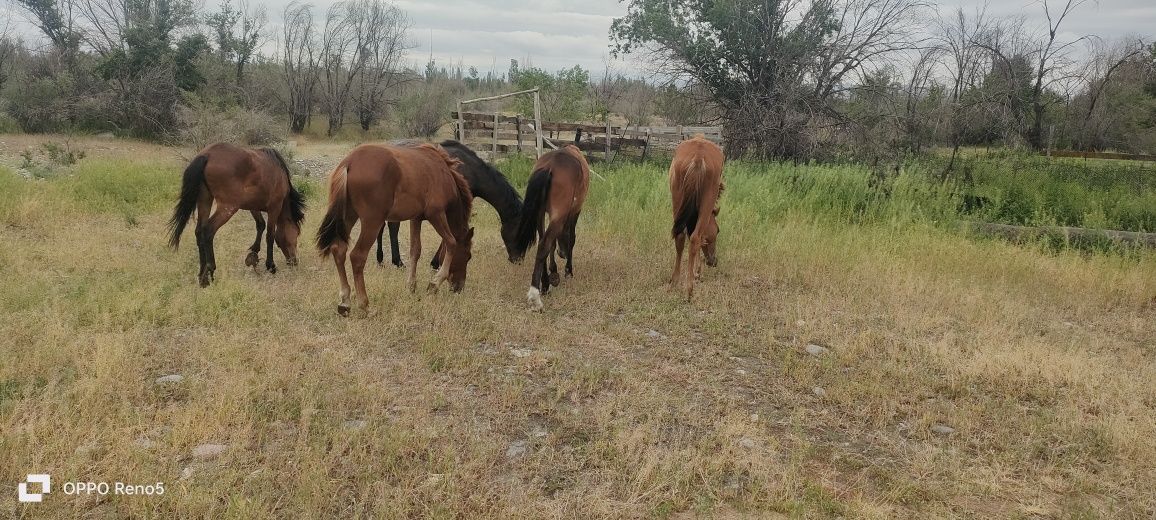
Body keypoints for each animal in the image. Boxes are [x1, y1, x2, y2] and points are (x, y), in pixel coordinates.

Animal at [167, 142, 305, 286]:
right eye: (296, 234)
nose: (294, 262)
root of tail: (207, 155)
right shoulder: (274, 208)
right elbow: (270, 235)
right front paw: (270, 265)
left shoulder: (253, 207)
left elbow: (260, 225)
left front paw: (254, 251)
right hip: (227, 208)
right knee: (208, 230)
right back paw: (211, 270)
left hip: (205, 200)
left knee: (199, 231)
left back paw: (202, 276)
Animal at [316, 140, 473, 316]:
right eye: (468, 256)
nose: (459, 288)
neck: (442, 172)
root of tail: (349, 162)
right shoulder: (436, 214)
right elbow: (451, 242)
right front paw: (435, 283)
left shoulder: (416, 218)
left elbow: (415, 250)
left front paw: (411, 286)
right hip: (373, 221)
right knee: (357, 256)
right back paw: (365, 305)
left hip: (348, 217)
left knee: (339, 250)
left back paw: (345, 301)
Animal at [379, 140, 524, 270]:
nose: (518, 260)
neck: (471, 169)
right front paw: (436, 262)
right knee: (392, 227)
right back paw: (397, 262)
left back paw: (381, 260)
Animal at [513, 144, 591, 309]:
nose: (563, 253)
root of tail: (549, 166)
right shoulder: (575, 211)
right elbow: (571, 238)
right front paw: (568, 271)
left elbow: (553, 243)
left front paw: (553, 273)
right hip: (558, 215)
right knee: (544, 244)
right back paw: (535, 296)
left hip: (540, 214)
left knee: (544, 241)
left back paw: (545, 284)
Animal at [670, 136, 721, 300]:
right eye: (718, 230)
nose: (713, 261)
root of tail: (698, 157)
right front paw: (697, 272)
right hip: (705, 203)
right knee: (695, 238)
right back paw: (689, 289)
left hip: (677, 200)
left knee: (681, 237)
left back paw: (675, 281)